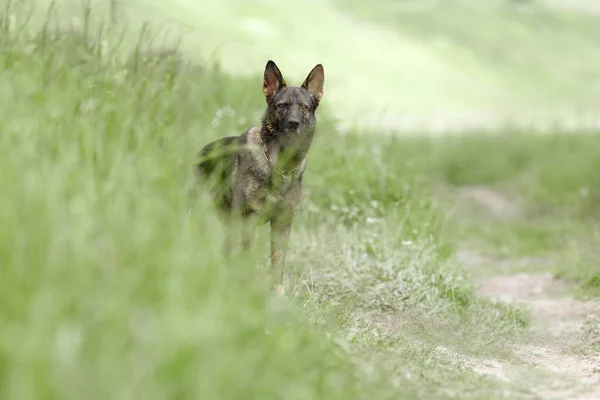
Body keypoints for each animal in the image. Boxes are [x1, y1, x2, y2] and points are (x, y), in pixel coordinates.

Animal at [193, 60, 324, 296]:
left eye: (304, 107)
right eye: (282, 106)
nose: (293, 123)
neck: (279, 165)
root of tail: (201, 153)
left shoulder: (282, 224)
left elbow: (278, 262)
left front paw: (277, 292)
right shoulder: (248, 219)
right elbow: (248, 256)